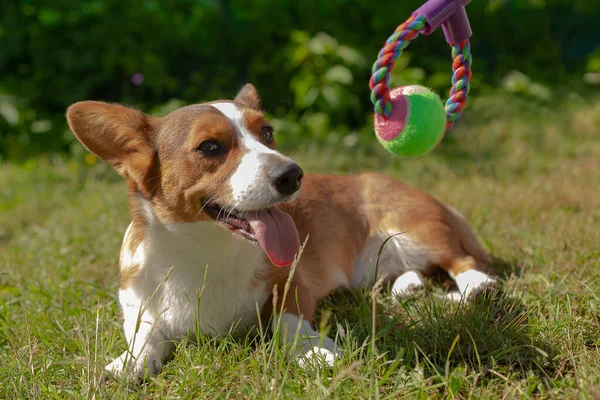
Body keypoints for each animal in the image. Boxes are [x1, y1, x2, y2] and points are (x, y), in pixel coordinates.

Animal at [65, 83, 496, 378]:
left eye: (268, 133)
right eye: (209, 147)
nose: (293, 175)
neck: (207, 254)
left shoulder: (291, 284)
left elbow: (285, 322)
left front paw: (315, 352)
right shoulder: (139, 306)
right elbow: (144, 337)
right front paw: (126, 366)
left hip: (416, 231)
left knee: (462, 260)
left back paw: (476, 286)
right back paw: (409, 287)